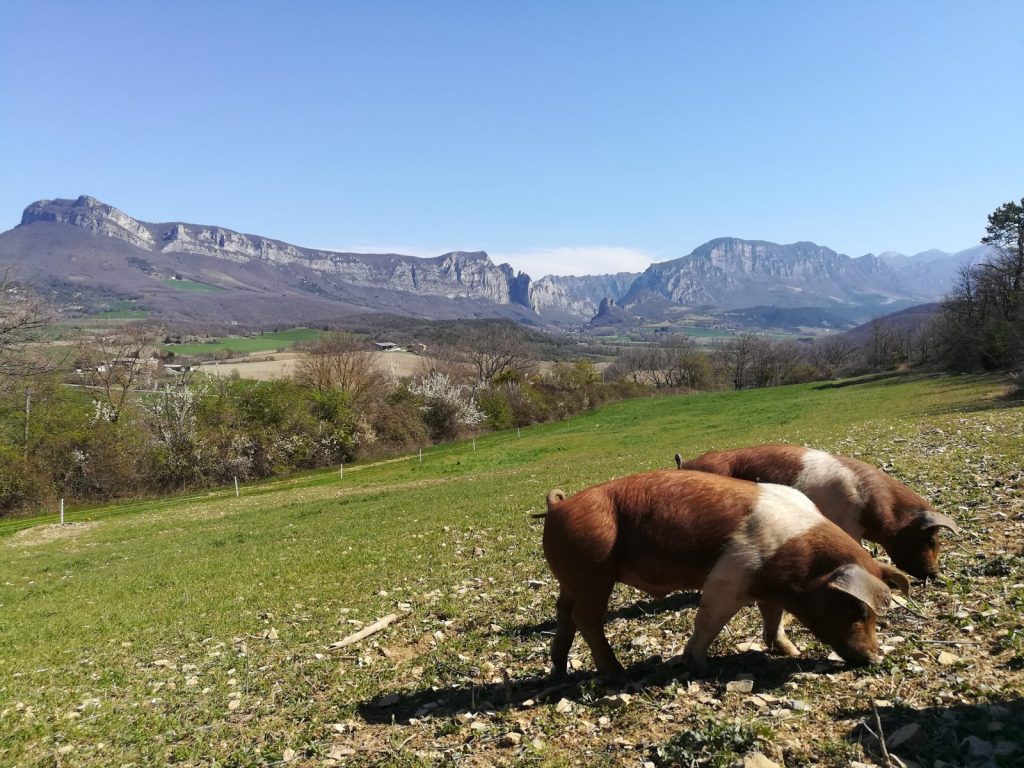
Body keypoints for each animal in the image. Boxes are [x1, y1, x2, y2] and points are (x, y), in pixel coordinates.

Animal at [540, 468, 909, 679]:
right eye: (857, 609)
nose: (873, 657)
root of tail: (558, 506)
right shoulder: (729, 576)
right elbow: (708, 622)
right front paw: (698, 667)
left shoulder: (768, 585)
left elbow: (773, 616)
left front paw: (791, 651)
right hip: (592, 570)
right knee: (586, 618)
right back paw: (618, 674)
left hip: (572, 578)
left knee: (564, 614)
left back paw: (560, 669)